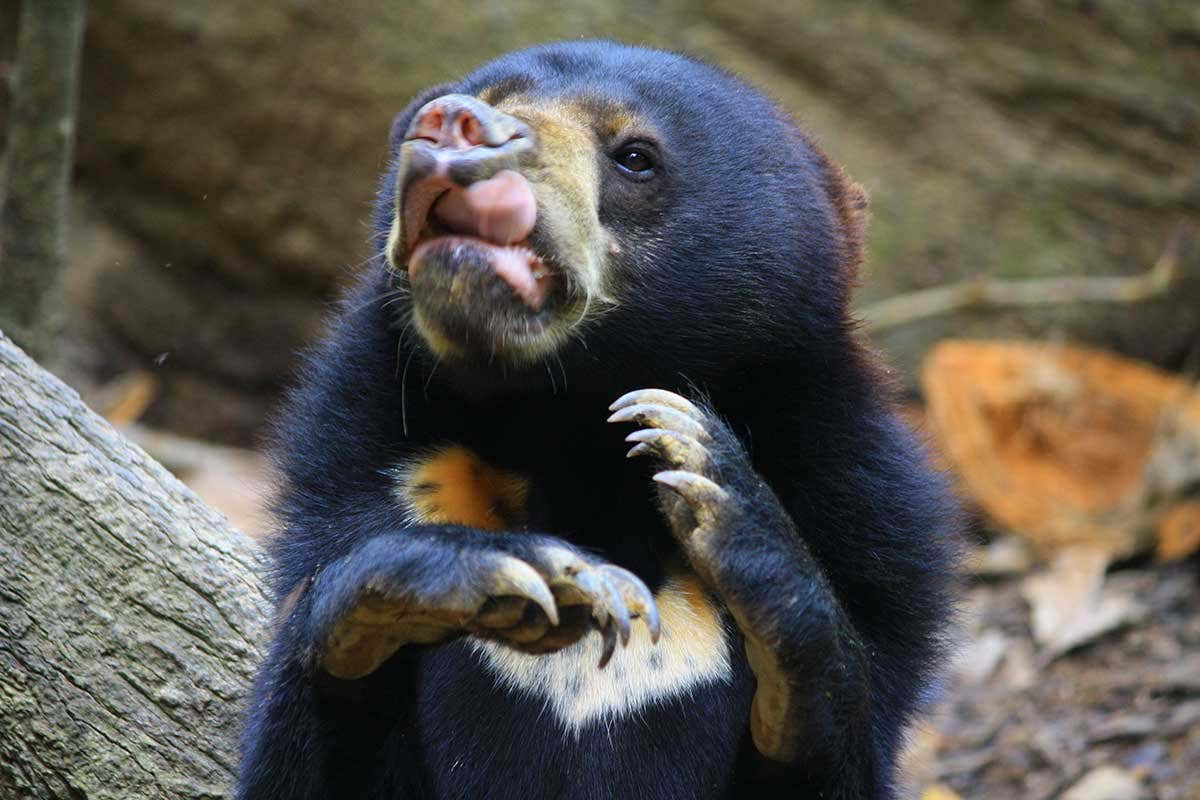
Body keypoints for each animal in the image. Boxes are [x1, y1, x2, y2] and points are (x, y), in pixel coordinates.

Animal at [236, 40, 961, 800]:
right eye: (483, 96)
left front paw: (710, 477)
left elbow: (842, 732)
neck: (570, 427)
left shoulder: (869, 519)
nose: (454, 123)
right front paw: (523, 573)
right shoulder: (363, 448)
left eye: (636, 156)